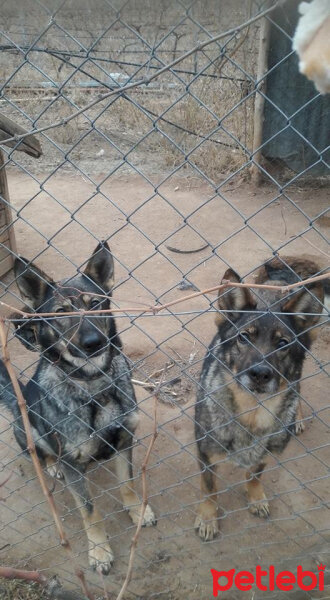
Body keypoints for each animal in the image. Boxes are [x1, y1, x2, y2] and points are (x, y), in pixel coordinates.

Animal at [0, 241, 156, 576]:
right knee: (44, 453)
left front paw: (137, 511)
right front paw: (99, 551)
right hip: (28, 429)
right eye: (61, 312)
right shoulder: (74, 465)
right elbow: (89, 511)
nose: (94, 342)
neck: (94, 386)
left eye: (96, 303)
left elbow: (128, 484)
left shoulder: (125, 441)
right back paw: (51, 465)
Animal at [195, 255, 326, 540]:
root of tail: (277, 281)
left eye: (283, 343)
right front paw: (208, 519)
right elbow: (209, 490)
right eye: (244, 337)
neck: (252, 415)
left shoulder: (263, 456)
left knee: (298, 388)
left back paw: (298, 417)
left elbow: (255, 476)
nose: (260, 374)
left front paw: (256, 498)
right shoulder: (205, 455)